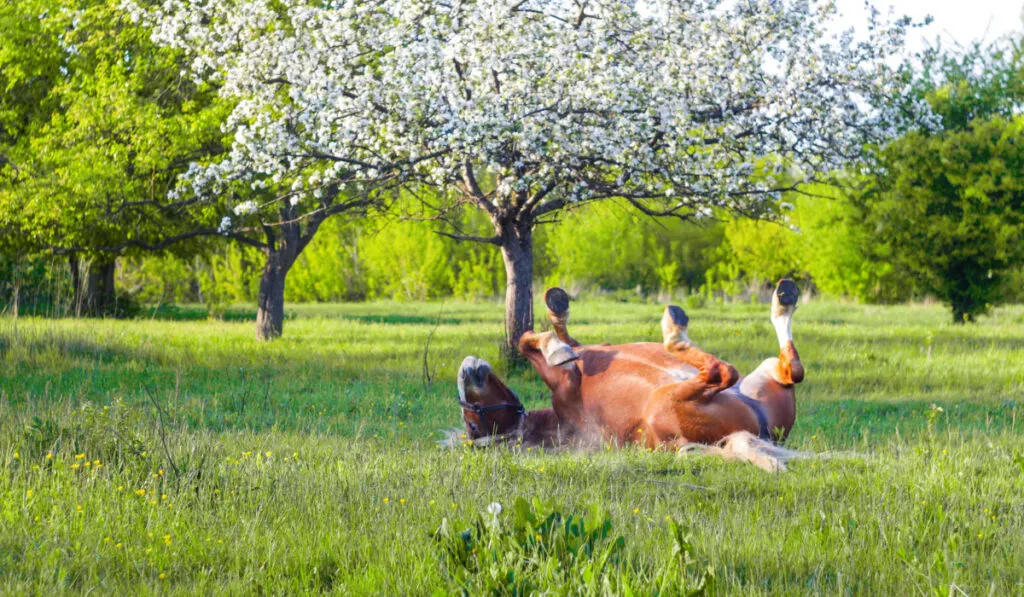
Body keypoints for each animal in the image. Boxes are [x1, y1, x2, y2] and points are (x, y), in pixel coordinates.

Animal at [458, 280, 806, 462]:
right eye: (472, 425)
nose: (466, 369)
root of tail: (756, 433)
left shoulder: (591, 350)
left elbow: (552, 336)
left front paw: (557, 309)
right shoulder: (564, 381)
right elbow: (528, 343)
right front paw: (555, 347)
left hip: (760, 379)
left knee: (791, 370)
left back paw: (784, 298)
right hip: (669, 401)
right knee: (723, 372)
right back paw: (675, 330)